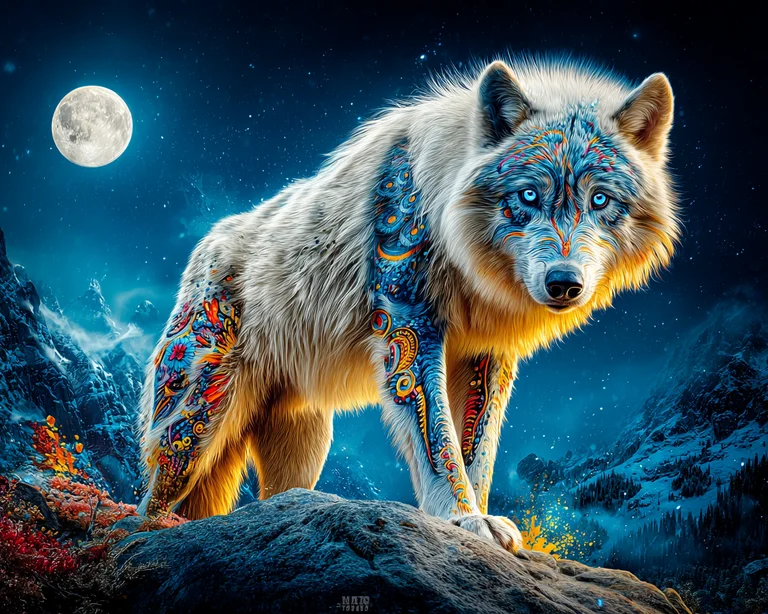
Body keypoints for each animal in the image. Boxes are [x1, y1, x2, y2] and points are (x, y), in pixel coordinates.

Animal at [138, 56, 679, 554]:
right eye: (528, 195)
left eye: (600, 201)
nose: (564, 283)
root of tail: (206, 246)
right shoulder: (409, 328)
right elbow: (437, 443)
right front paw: (463, 519)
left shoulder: (486, 356)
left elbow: (477, 450)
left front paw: (480, 518)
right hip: (195, 428)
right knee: (151, 502)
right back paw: (152, 531)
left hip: (305, 448)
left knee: (273, 498)